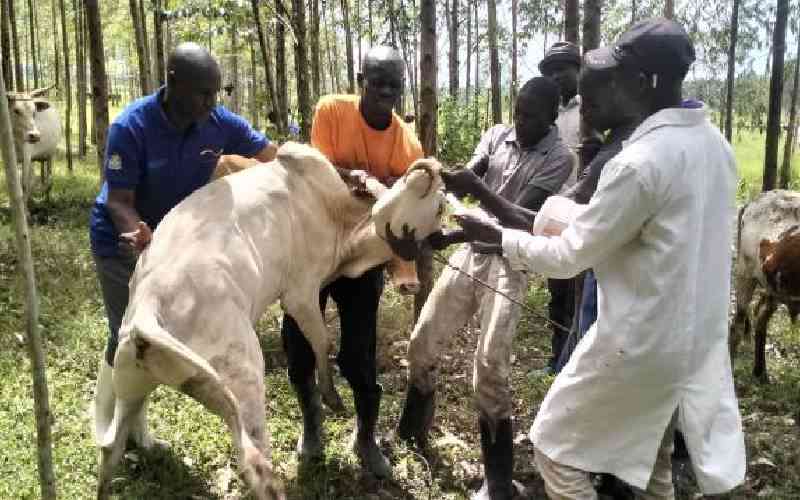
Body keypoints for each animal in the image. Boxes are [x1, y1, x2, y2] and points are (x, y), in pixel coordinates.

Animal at [94, 142, 446, 500]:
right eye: (441, 205)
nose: (429, 167)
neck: (343, 225)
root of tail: (146, 310)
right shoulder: (300, 292)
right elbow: (323, 342)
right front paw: (331, 395)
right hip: (243, 376)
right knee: (257, 466)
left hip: (136, 382)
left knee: (110, 447)